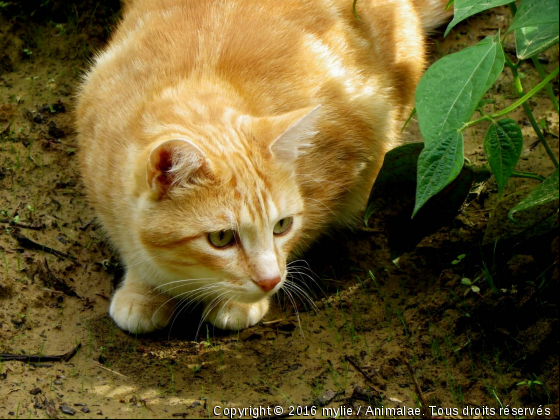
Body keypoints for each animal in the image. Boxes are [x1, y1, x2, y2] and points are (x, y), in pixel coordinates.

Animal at [75, 0, 450, 334]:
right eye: (221, 238)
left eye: (282, 226)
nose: (269, 280)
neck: (199, 84)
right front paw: (145, 289)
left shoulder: (345, 157)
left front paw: (237, 302)